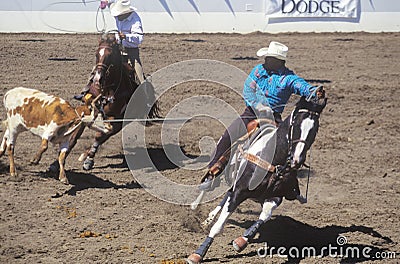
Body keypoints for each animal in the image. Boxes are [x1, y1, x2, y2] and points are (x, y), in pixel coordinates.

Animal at [78, 33, 159, 170]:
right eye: (97, 54)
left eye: (110, 55)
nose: (97, 79)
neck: (108, 90)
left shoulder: (116, 119)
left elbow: (101, 135)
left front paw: (88, 158)